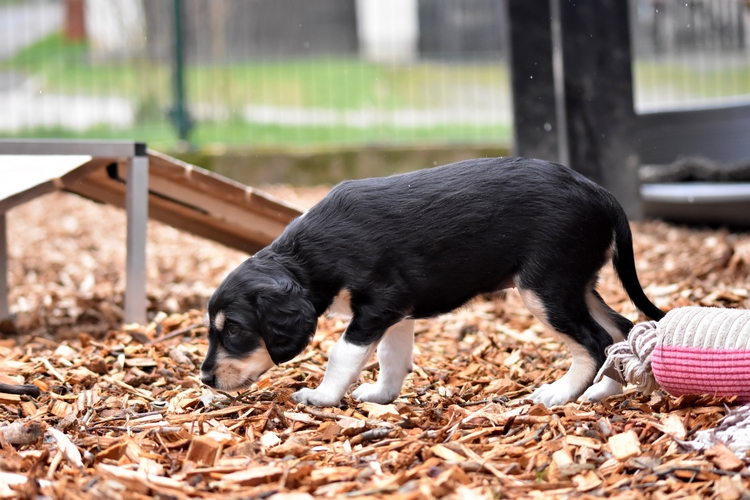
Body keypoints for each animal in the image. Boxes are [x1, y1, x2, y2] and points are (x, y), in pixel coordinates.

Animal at [200, 156, 664, 406]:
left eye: (234, 330)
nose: (204, 380)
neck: (310, 256)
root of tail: (600, 193)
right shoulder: (395, 313)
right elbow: (390, 356)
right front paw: (382, 396)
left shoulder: (378, 305)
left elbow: (342, 353)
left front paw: (322, 397)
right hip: (577, 284)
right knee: (619, 329)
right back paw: (604, 390)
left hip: (545, 288)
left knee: (594, 341)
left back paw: (561, 393)